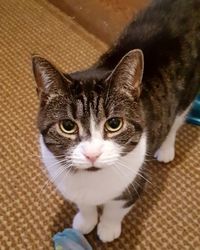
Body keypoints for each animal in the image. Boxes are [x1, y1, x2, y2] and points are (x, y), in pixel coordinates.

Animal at [32, 0, 199, 242]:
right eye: (68, 126)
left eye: (114, 124)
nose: (92, 154)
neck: (93, 181)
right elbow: (85, 205)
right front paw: (86, 221)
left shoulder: (134, 183)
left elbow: (115, 209)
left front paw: (108, 229)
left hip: (189, 90)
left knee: (177, 119)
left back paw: (166, 149)